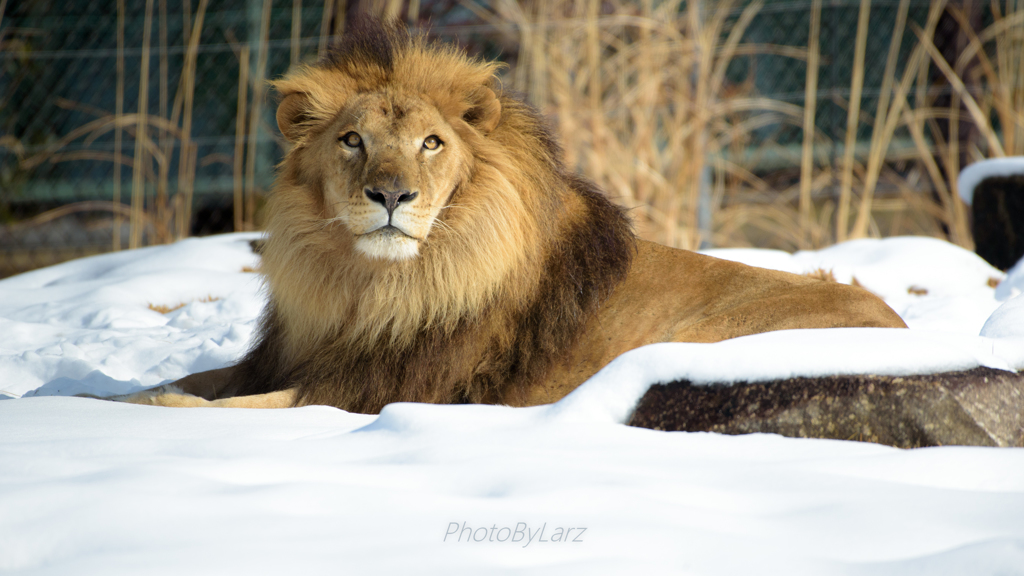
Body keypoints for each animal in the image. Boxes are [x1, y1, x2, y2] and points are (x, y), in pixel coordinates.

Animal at [112, 21, 909, 412]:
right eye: (352, 141)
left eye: (431, 144)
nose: (391, 196)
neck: (365, 289)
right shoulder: (293, 357)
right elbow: (198, 384)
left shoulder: (368, 394)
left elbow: (209, 409)